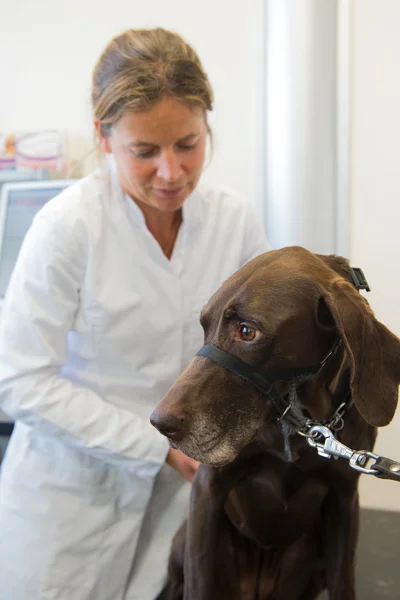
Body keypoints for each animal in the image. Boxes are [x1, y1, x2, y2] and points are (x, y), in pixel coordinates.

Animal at [150, 247, 400, 600]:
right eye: (204, 326)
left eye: (247, 332)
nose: (160, 423)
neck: (302, 426)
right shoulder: (207, 489)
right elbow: (199, 583)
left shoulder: (344, 500)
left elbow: (343, 583)